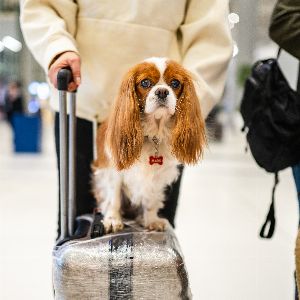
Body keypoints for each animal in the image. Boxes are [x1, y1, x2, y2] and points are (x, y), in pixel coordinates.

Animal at [92, 57, 206, 233]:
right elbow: (113, 197)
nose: (162, 91)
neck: (153, 133)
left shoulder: (158, 175)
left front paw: (151, 220)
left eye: (175, 83)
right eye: (145, 83)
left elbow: (151, 200)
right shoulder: (112, 171)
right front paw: (112, 219)